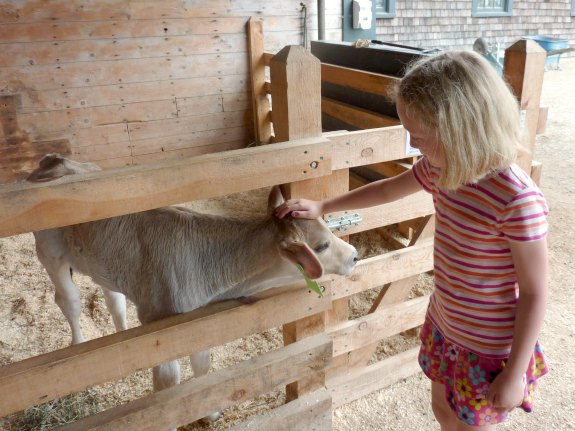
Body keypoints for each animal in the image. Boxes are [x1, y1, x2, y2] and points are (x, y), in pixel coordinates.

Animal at [28, 154, 358, 423]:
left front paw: (209, 412)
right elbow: (168, 383)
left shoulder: (198, 322)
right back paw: (78, 344)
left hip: (101, 259)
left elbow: (202, 365)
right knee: (68, 300)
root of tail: (54, 160)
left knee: (113, 298)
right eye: (321, 245)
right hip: (49, 252)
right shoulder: (160, 330)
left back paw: (122, 336)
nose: (355, 255)